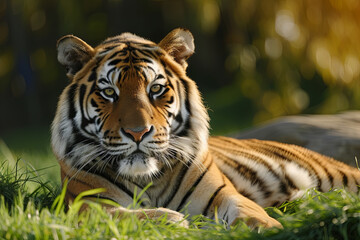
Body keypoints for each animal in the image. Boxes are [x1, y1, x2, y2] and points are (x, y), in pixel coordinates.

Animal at [51, 28, 360, 229]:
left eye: (155, 89)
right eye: (109, 92)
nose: (138, 132)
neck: (148, 178)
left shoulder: (224, 193)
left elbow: (251, 213)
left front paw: (269, 228)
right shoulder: (86, 205)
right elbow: (122, 215)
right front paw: (171, 219)